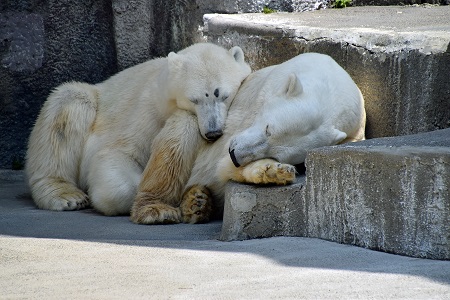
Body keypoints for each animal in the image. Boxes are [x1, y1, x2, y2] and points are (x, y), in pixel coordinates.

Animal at [26, 42, 251, 216]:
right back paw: (66, 195)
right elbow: (120, 153)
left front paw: (197, 201)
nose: (213, 132)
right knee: (68, 104)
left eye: (224, 95)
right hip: (93, 102)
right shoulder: (146, 112)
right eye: (194, 99)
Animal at [130, 52, 366, 224]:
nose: (235, 154)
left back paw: (197, 202)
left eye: (280, 155)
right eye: (268, 128)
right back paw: (156, 209)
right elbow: (219, 163)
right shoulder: (251, 107)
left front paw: (274, 171)